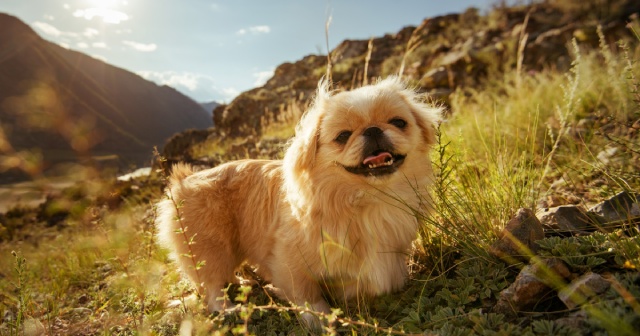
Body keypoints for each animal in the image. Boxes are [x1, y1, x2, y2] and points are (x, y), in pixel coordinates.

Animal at [158, 77, 442, 326]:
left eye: (399, 122)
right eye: (343, 136)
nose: (373, 130)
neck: (366, 199)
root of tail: (183, 181)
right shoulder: (290, 259)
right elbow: (307, 295)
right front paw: (319, 319)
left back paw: (243, 284)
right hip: (211, 249)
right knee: (212, 288)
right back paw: (229, 308)